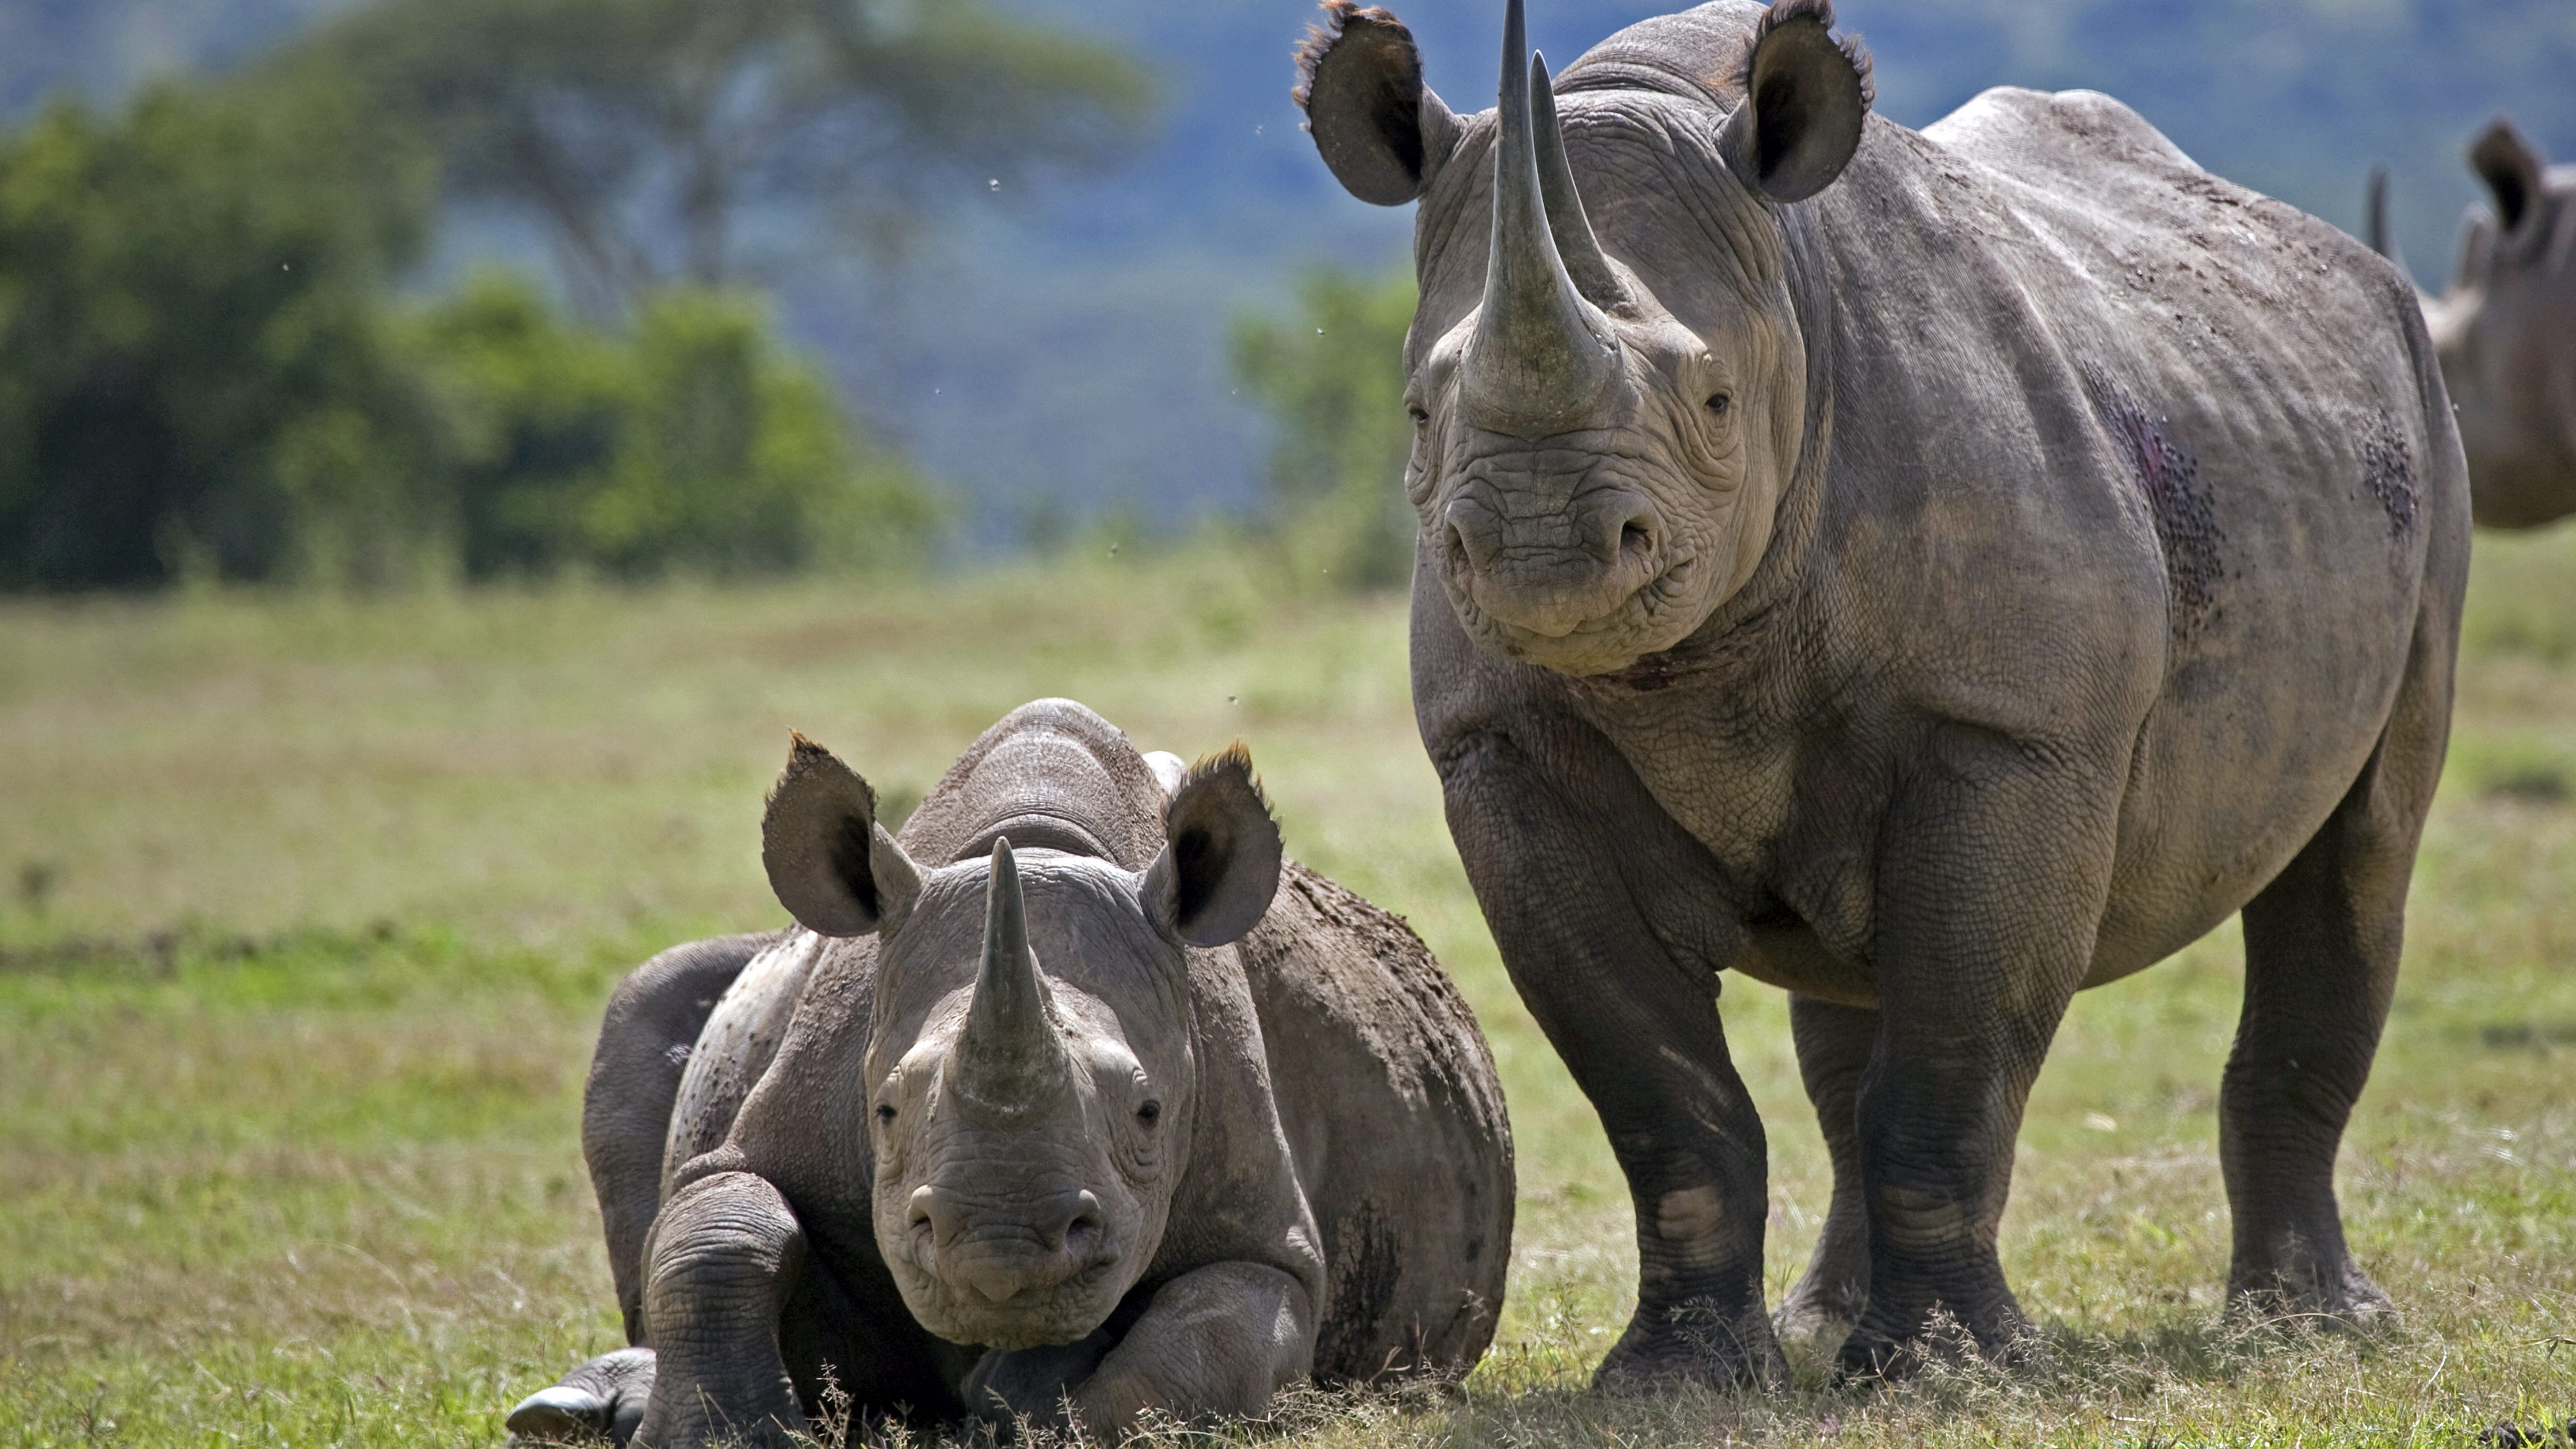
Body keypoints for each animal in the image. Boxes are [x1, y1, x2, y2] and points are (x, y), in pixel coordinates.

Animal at [505, 696, 1504, 1433]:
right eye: (885, 1111)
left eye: (1149, 1113)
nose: (1000, 1252)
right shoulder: (776, 1124)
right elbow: (717, 1227)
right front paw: (719, 1435)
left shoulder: (1267, 1234)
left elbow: (1207, 1341)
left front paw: (1029, 1407)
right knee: (649, 1005)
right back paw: (576, 1410)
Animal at [1298, 0, 2462, 1371]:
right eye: (1419, 412)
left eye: (1715, 401)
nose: (1541, 550)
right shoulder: (1503, 752)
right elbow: (1658, 1091)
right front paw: (1676, 1374)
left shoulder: (2013, 731)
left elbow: (1951, 1059)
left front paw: (1960, 1369)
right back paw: (1828, 1322)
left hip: (2424, 431)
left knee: (2360, 848)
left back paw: (2312, 1325)